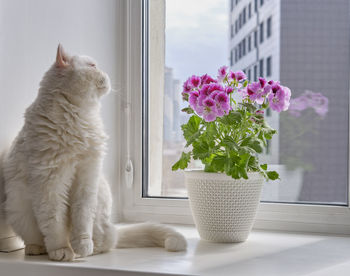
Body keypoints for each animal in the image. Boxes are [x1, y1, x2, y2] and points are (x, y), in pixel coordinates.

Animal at [0, 44, 187, 260]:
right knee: (39, 238)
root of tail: (114, 229)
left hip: (99, 200)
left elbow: (82, 217)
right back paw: (39, 249)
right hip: (18, 208)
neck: (79, 117)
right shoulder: (50, 183)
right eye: (92, 66)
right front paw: (61, 251)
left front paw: (81, 246)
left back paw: (83, 252)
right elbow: (55, 222)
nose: (105, 73)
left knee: (105, 242)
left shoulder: (87, 178)